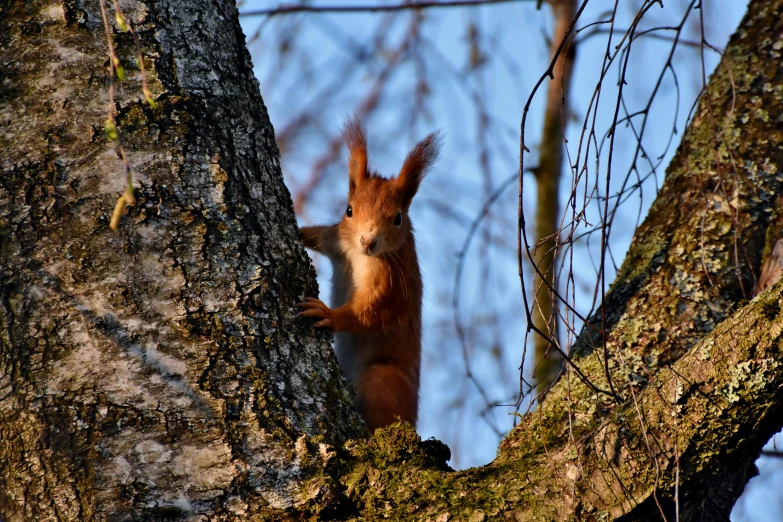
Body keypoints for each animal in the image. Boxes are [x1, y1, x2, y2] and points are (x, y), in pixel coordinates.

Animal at [298, 118, 440, 430]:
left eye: (398, 218)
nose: (368, 241)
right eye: (349, 210)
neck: (359, 256)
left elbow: (373, 312)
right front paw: (299, 232)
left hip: (379, 380)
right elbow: (316, 235)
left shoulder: (391, 282)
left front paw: (329, 315)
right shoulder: (336, 240)